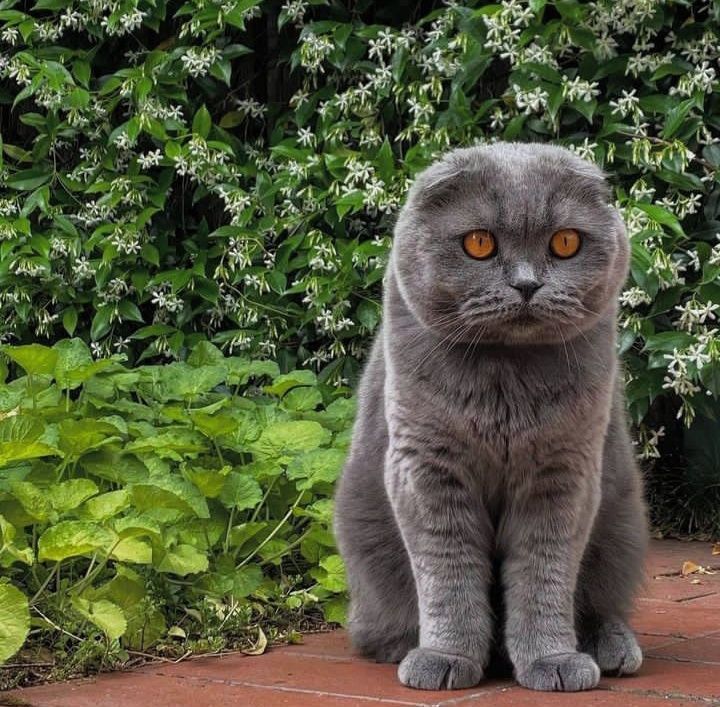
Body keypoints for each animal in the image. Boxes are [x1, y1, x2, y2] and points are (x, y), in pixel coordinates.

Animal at [334, 142, 648, 692]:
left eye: (565, 242)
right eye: (479, 243)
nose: (526, 285)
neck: (505, 379)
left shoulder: (565, 471)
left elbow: (545, 573)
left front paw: (553, 661)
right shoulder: (426, 467)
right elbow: (449, 574)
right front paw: (444, 658)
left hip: (622, 520)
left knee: (601, 599)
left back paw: (610, 646)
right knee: (375, 627)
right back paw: (403, 646)